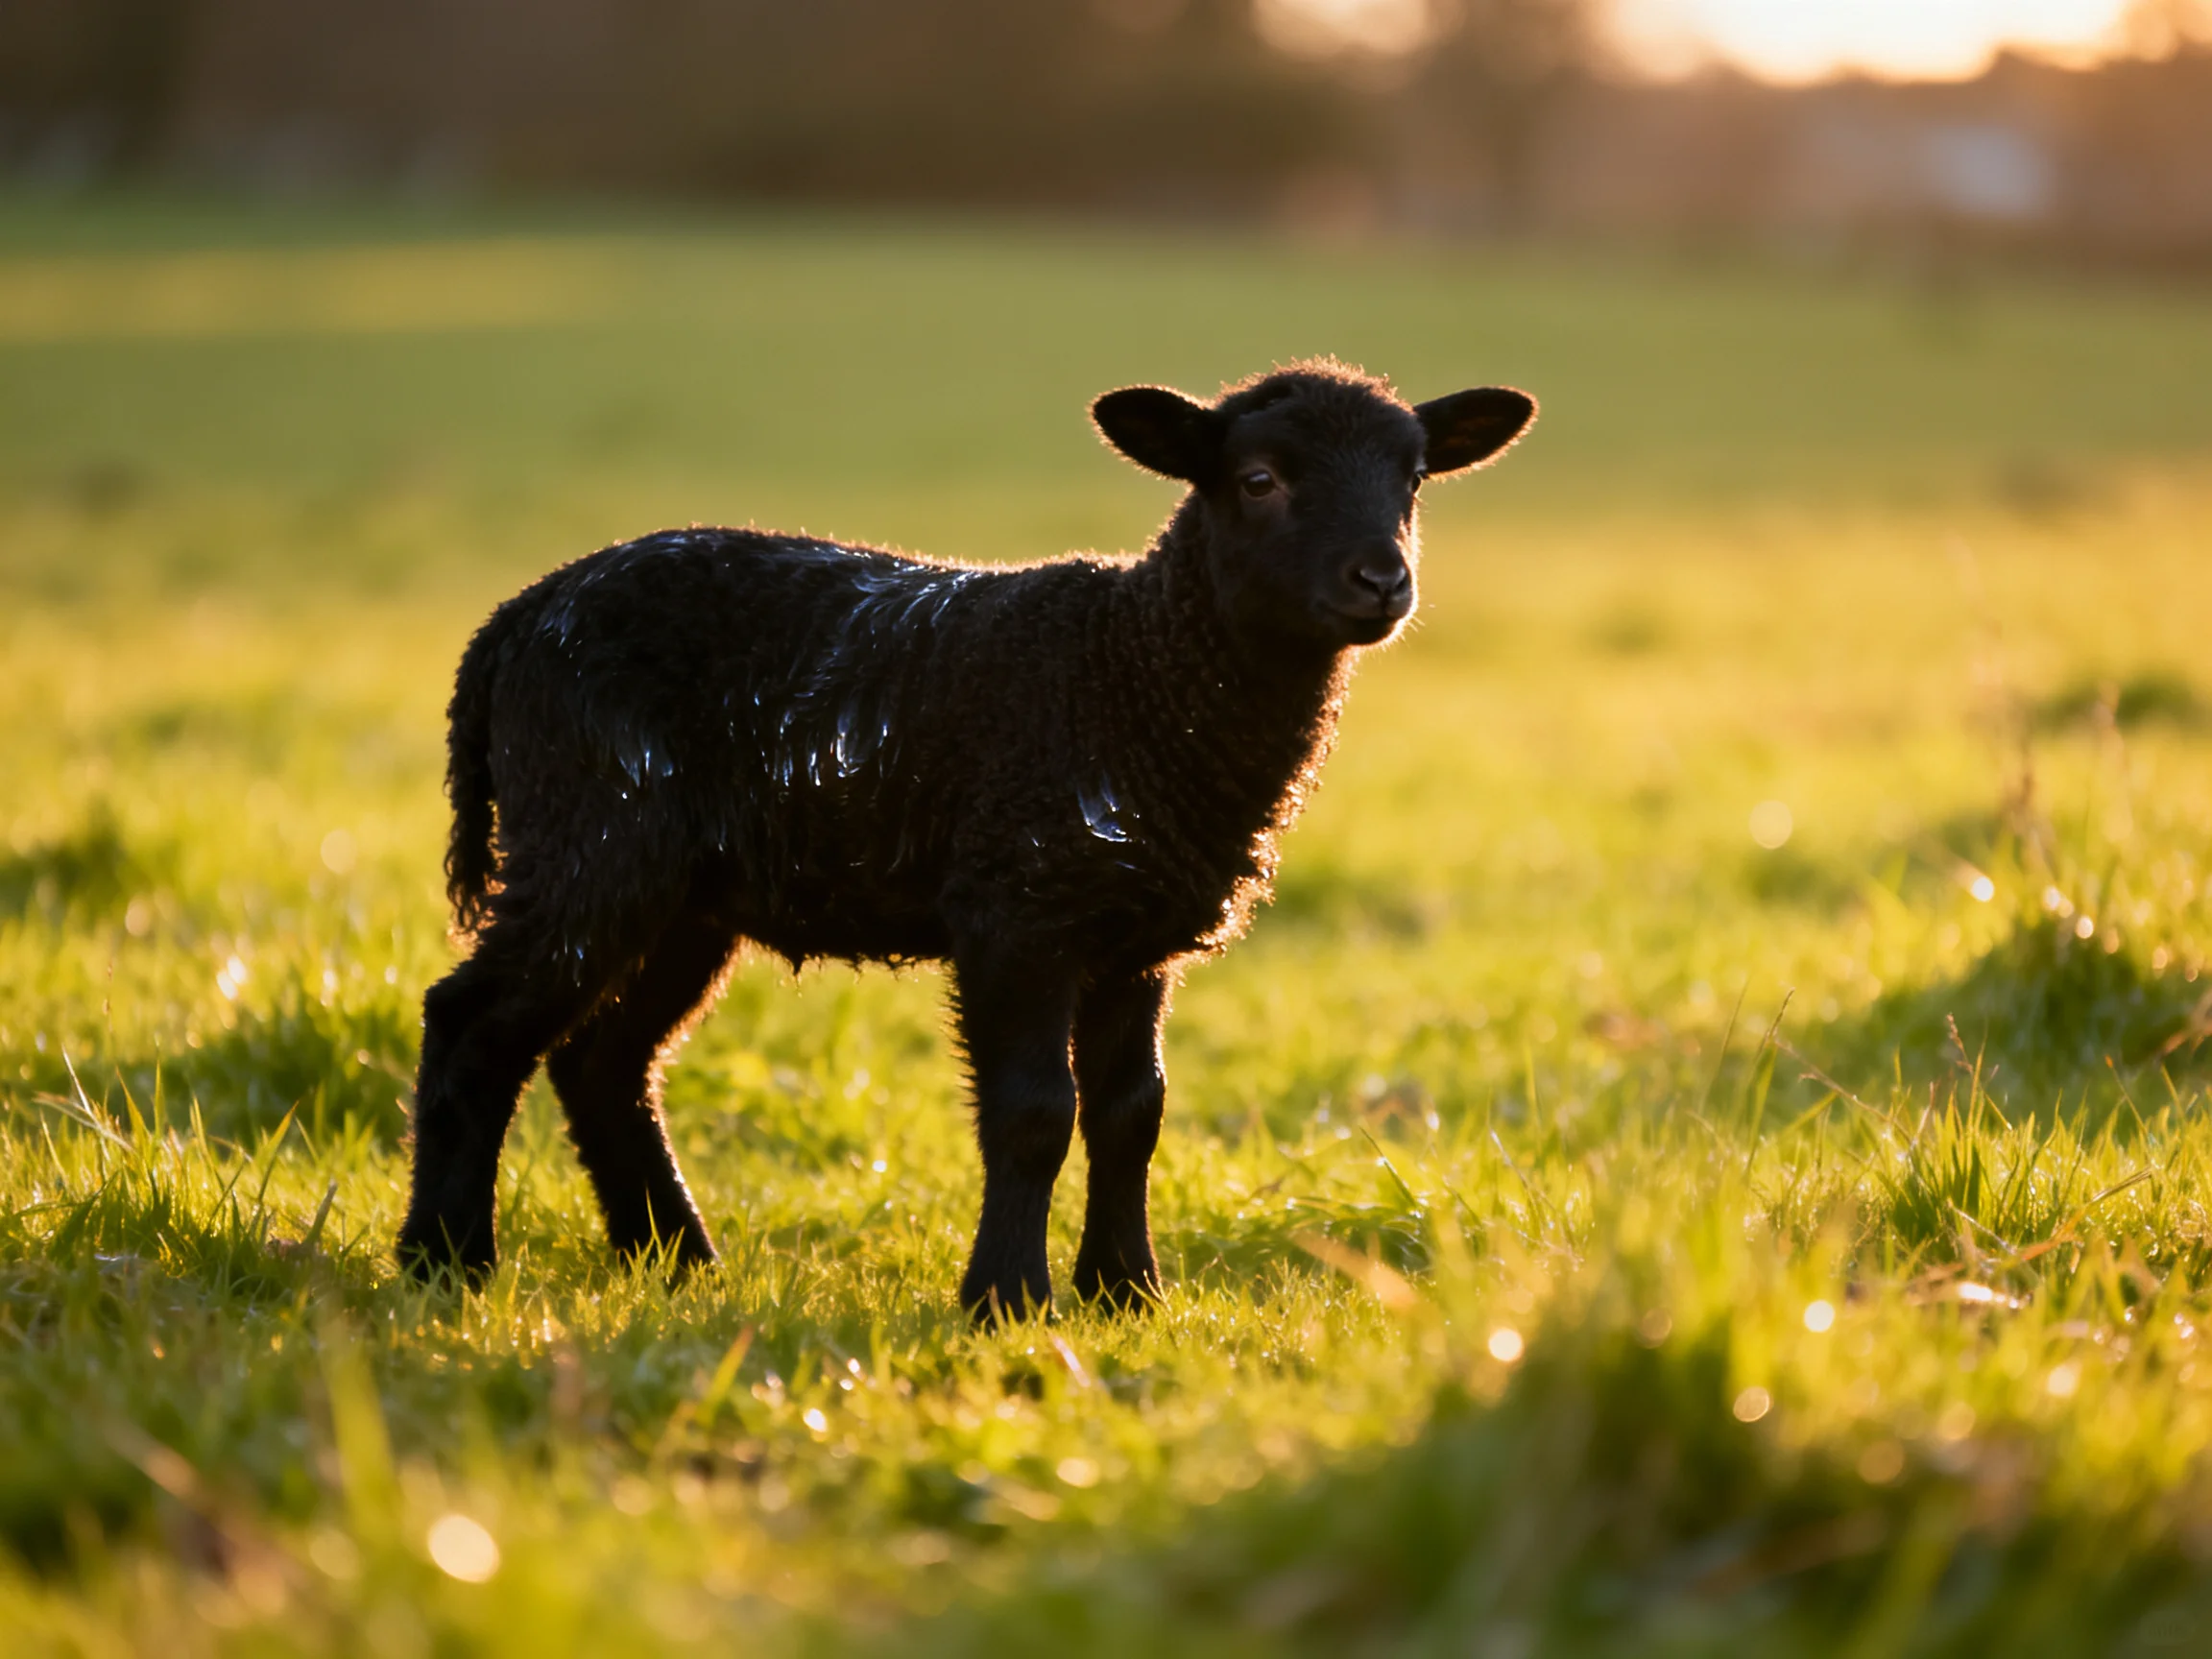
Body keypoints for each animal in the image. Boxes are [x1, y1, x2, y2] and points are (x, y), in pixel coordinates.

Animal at [396, 359, 1536, 1318]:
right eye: (1258, 479)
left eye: (1415, 481)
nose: (1382, 581)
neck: (1133, 670)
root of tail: (513, 620)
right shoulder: (1015, 913)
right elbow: (1034, 1113)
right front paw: (1009, 1299)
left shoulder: (1135, 939)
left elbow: (1132, 1111)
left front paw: (1127, 1293)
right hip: (590, 837)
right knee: (472, 1024)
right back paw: (445, 1261)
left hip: (686, 893)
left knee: (602, 1059)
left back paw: (677, 1260)